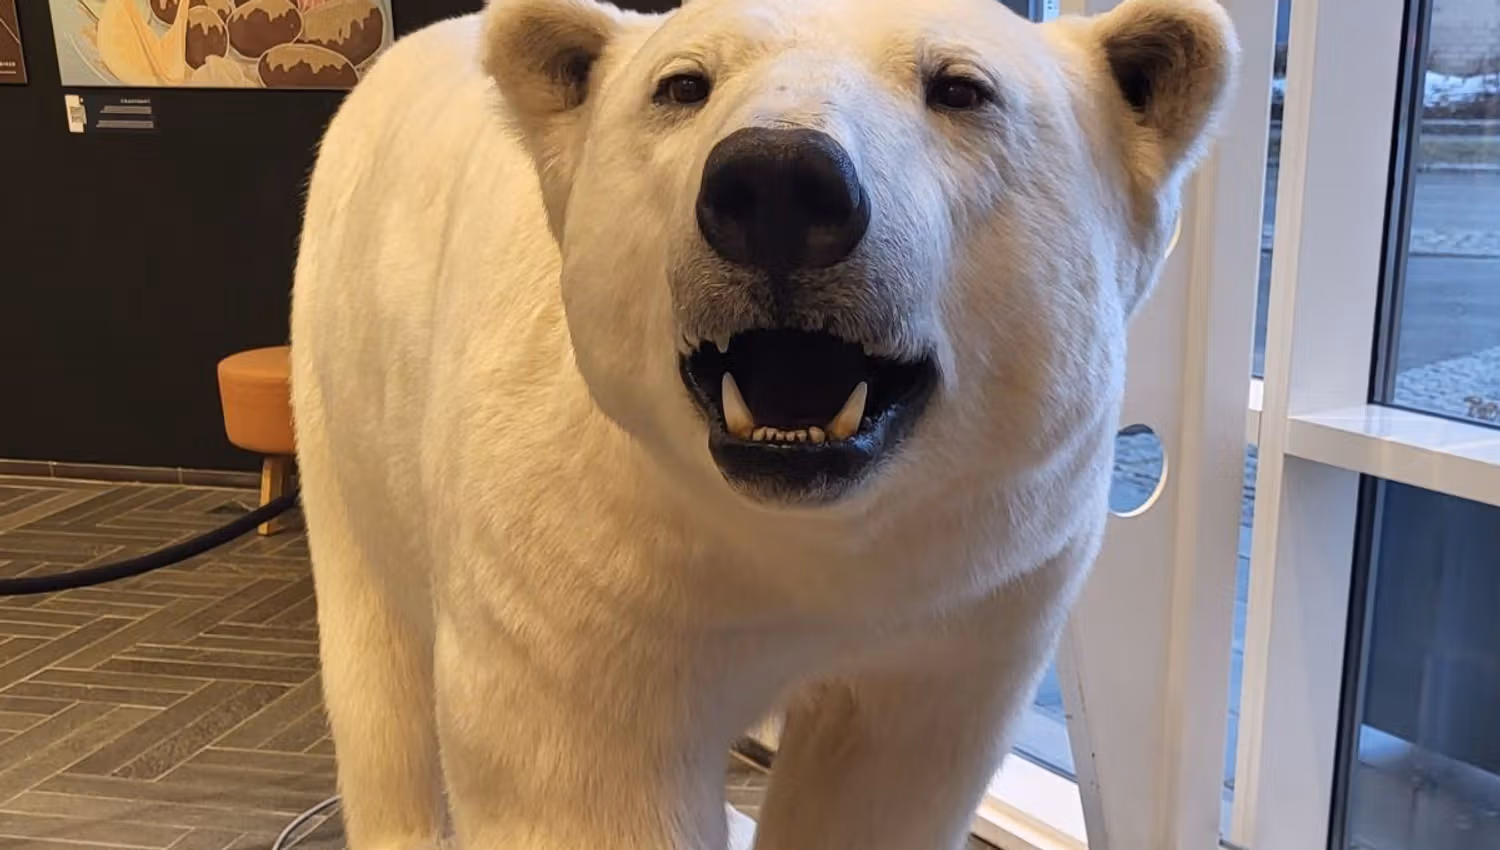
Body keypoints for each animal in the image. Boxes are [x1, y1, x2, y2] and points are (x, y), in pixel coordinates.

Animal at [288, 0, 1237, 848]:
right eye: (682, 84)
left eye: (961, 88)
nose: (779, 182)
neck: (789, 538)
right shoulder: (576, 566)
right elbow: (582, 784)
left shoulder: (968, 598)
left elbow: (879, 784)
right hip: (335, 389)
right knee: (378, 683)